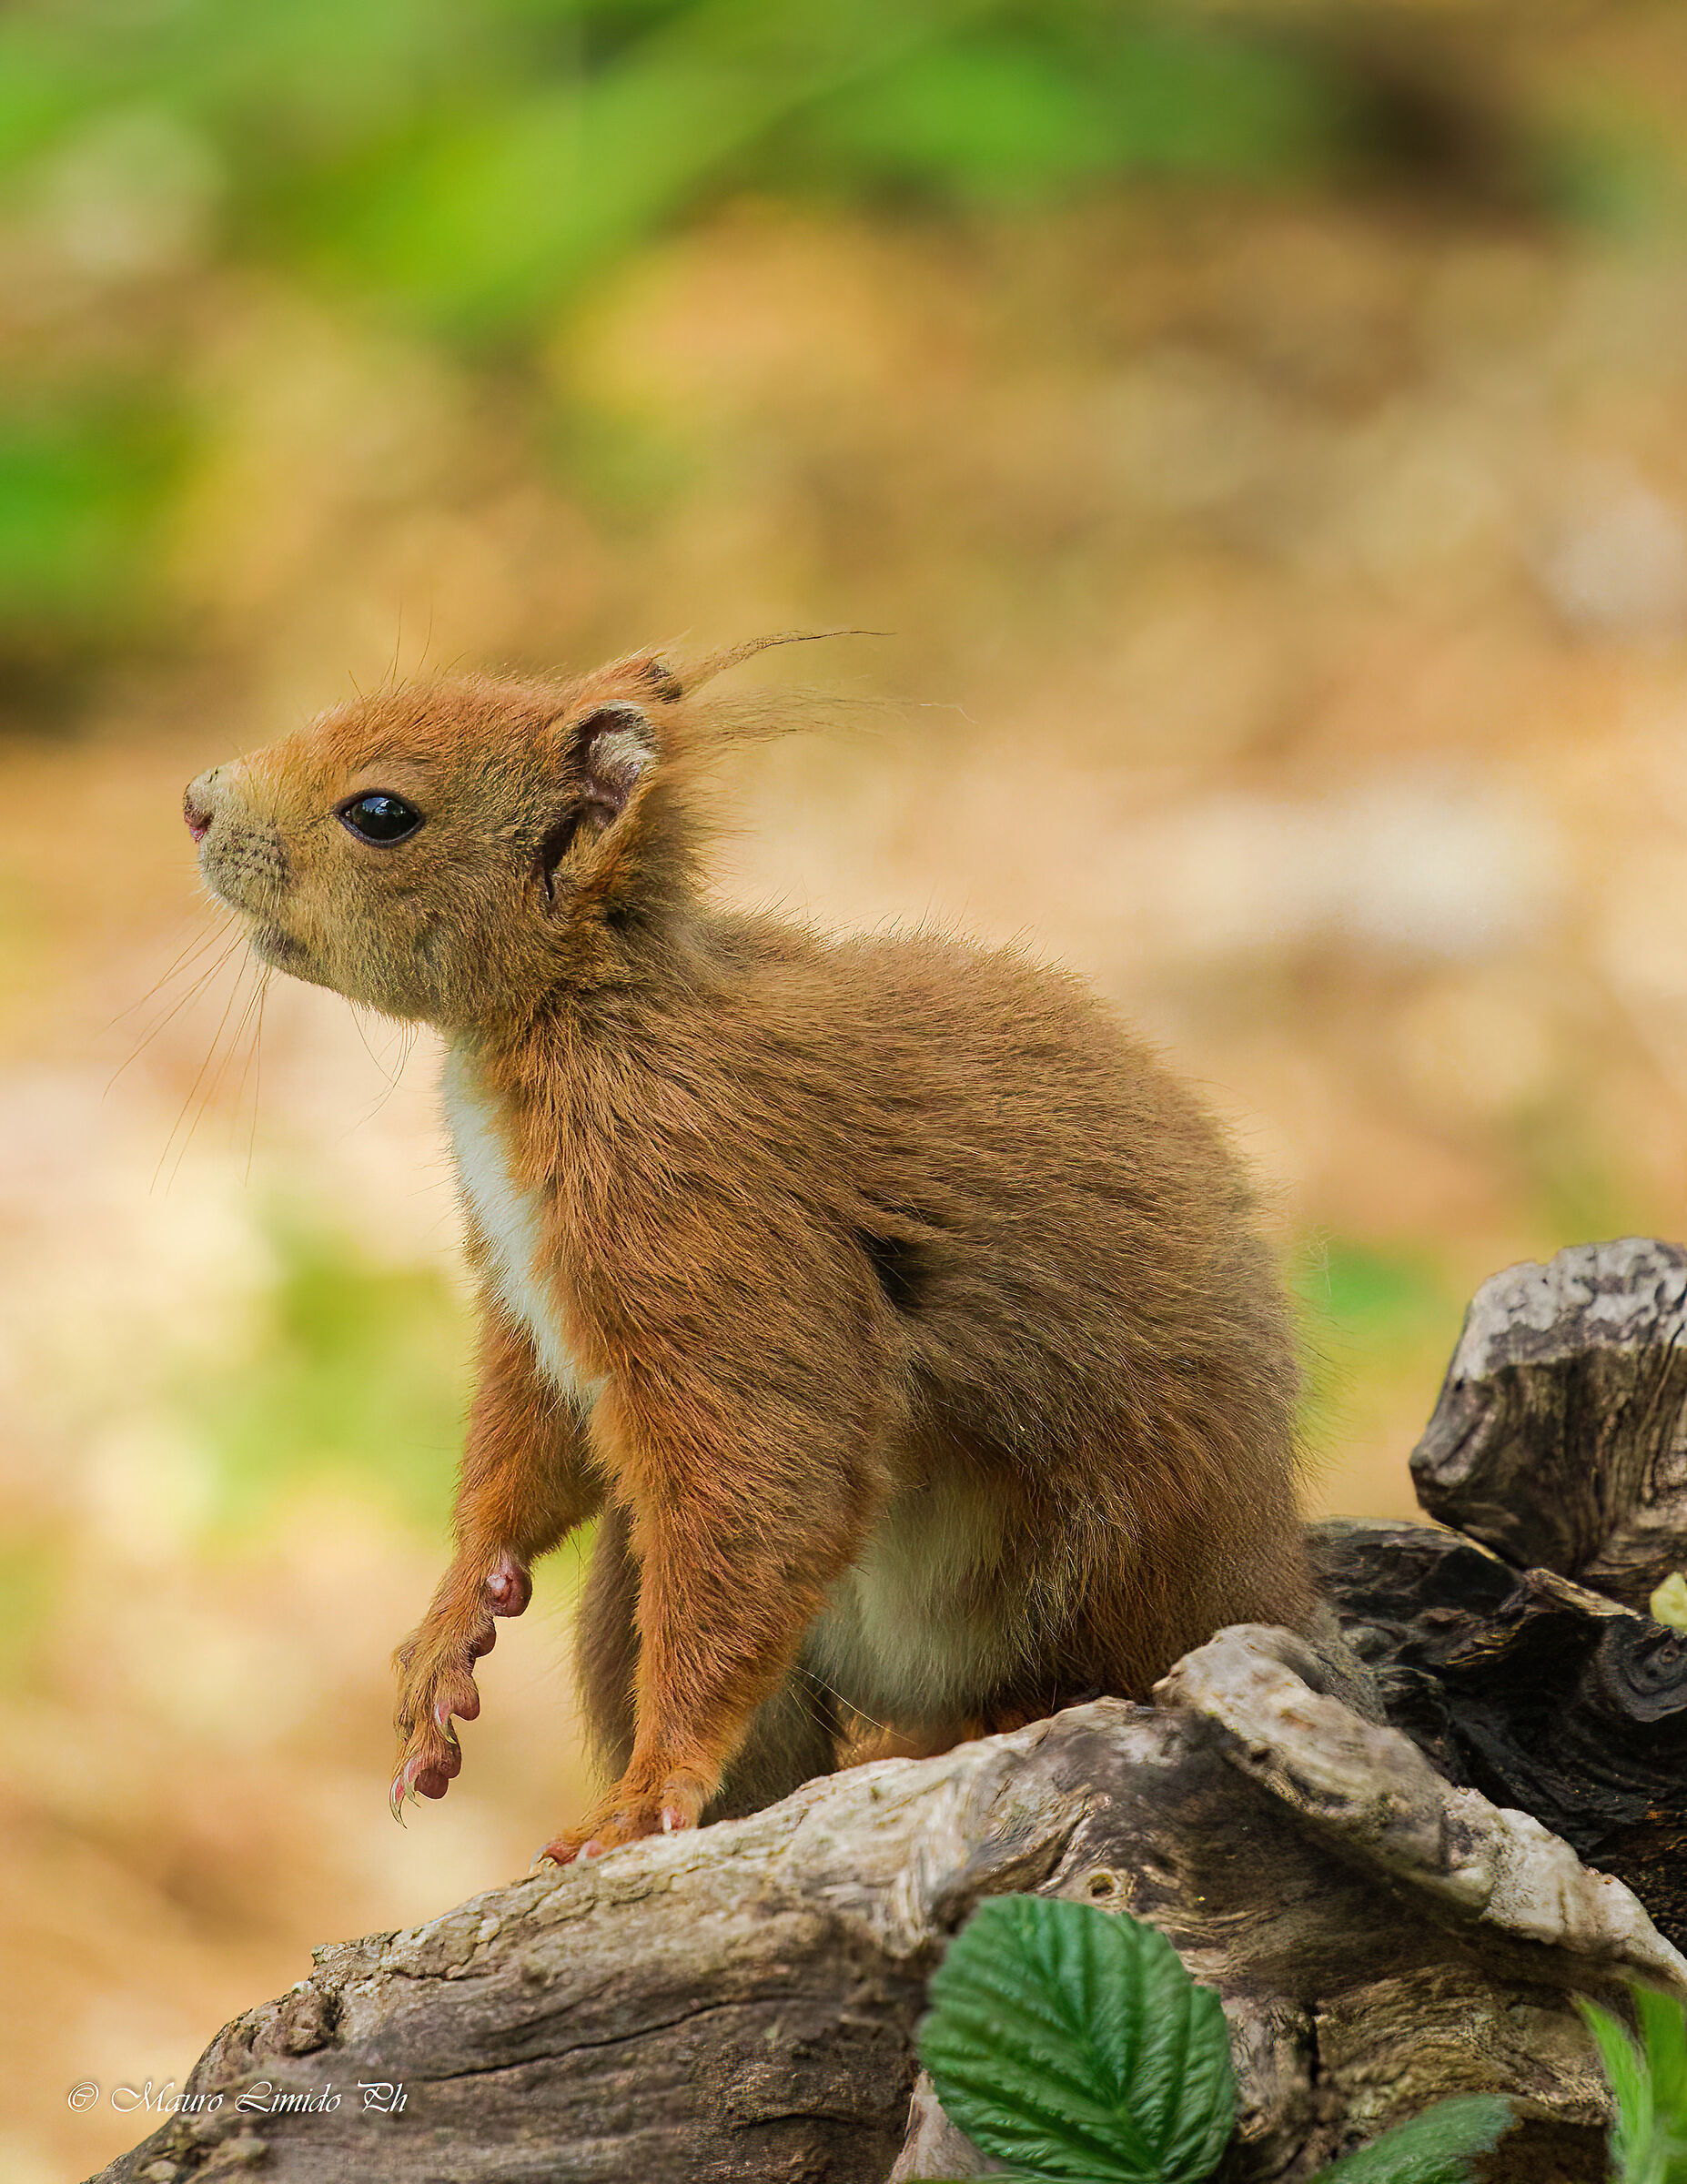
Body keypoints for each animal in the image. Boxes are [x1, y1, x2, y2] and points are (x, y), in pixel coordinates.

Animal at [183, 636, 1317, 1865]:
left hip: (1099, 1546)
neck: (575, 1018)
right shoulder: (529, 1300)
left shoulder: (703, 1209)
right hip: (633, 1595)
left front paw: (643, 1800)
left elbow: (769, 1466)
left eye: (381, 813)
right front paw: (451, 1628)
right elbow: (523, 1452)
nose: (196, 802)